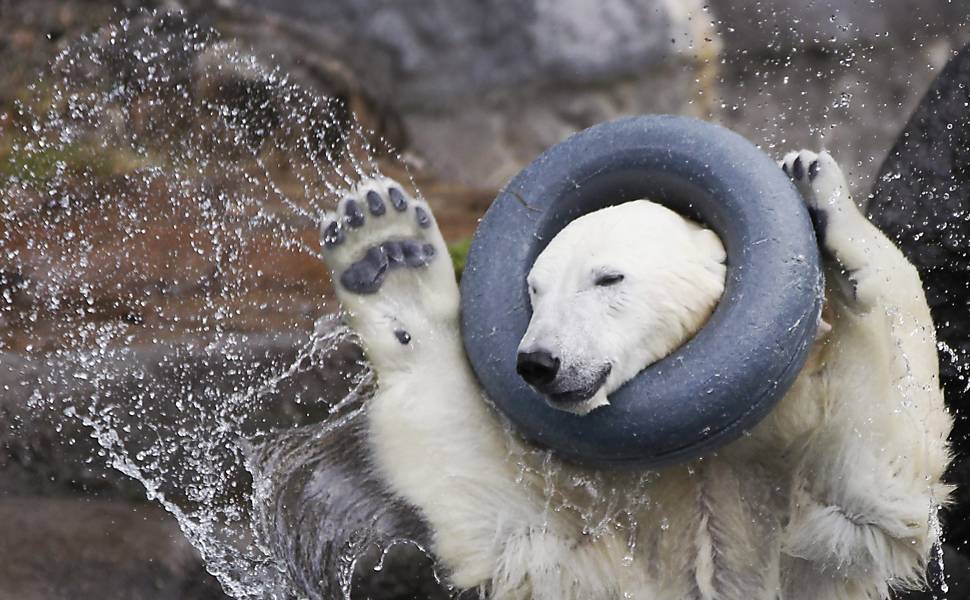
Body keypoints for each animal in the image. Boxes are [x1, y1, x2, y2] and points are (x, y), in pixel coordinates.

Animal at [320, 150, 952, 600]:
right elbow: (509, 527)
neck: (699, 457)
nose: (538, 362)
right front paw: (386, 249)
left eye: (608, 278)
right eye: (534, 289)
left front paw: (825, 209)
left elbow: (864, 500)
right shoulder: (597, 545)